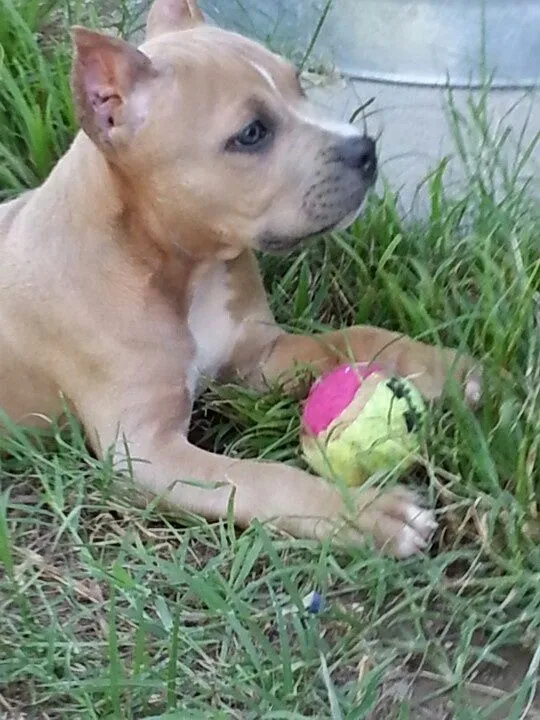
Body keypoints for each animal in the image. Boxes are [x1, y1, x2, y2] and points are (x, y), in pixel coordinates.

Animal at [0, 0, 480, 556]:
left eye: (299, 84)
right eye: (251, 134)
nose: (366, 149)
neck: (180, 267)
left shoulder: (256, 352)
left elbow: (351, 338)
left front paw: (438, 366)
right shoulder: (146, 453)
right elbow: (261, 478)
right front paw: (367, 512)